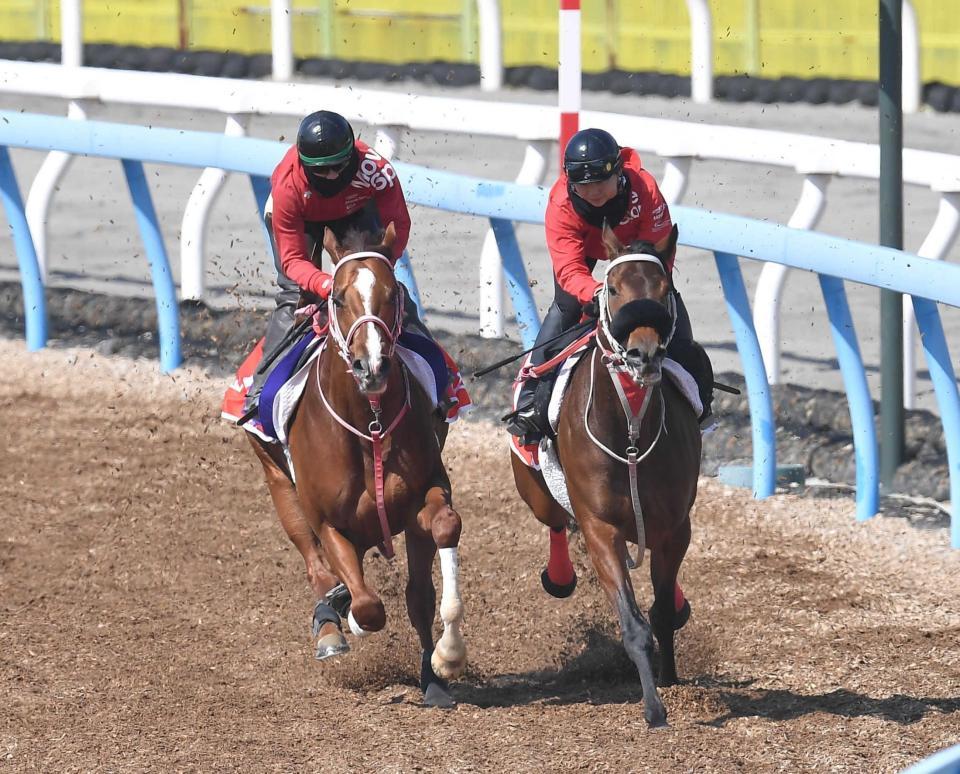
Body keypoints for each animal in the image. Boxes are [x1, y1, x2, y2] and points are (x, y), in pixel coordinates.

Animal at [249, 223, 466, 708]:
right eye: (337, 297)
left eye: (392, 292)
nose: (372, 366)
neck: (370, 425)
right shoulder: (329, 523)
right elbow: (368, 607)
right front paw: (343, 614)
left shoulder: (424, 497)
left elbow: (441, 539)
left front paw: (444, 661)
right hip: (279, 484)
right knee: (317, 567)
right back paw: (331, 624)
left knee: (413, 593)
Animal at [512, 223, 700, 728]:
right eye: (612, 289)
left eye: (664, 289)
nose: (644, 354)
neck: (630, 433)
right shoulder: (601, 530)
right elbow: (633, 624)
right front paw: (654, 708)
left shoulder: (674, 526)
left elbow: (660, 611)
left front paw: (669, 675)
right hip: (535, 488)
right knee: (555, 522)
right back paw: (559, 576)